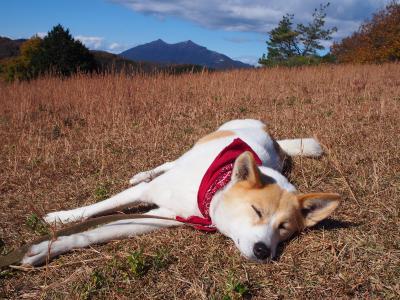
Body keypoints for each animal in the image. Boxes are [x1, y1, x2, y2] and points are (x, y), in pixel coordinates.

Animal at [17, 118, 340, 266]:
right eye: (256, 211)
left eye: (284, 229)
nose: (264, 252)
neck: (208, 197)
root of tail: (270, 136)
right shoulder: (148, 193)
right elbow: (99, 207)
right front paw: (61, 218)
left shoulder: (163, 218)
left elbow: (97, 233)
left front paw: (45, 250)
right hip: (195, 147)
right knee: (167, 164)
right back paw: (141, 173)